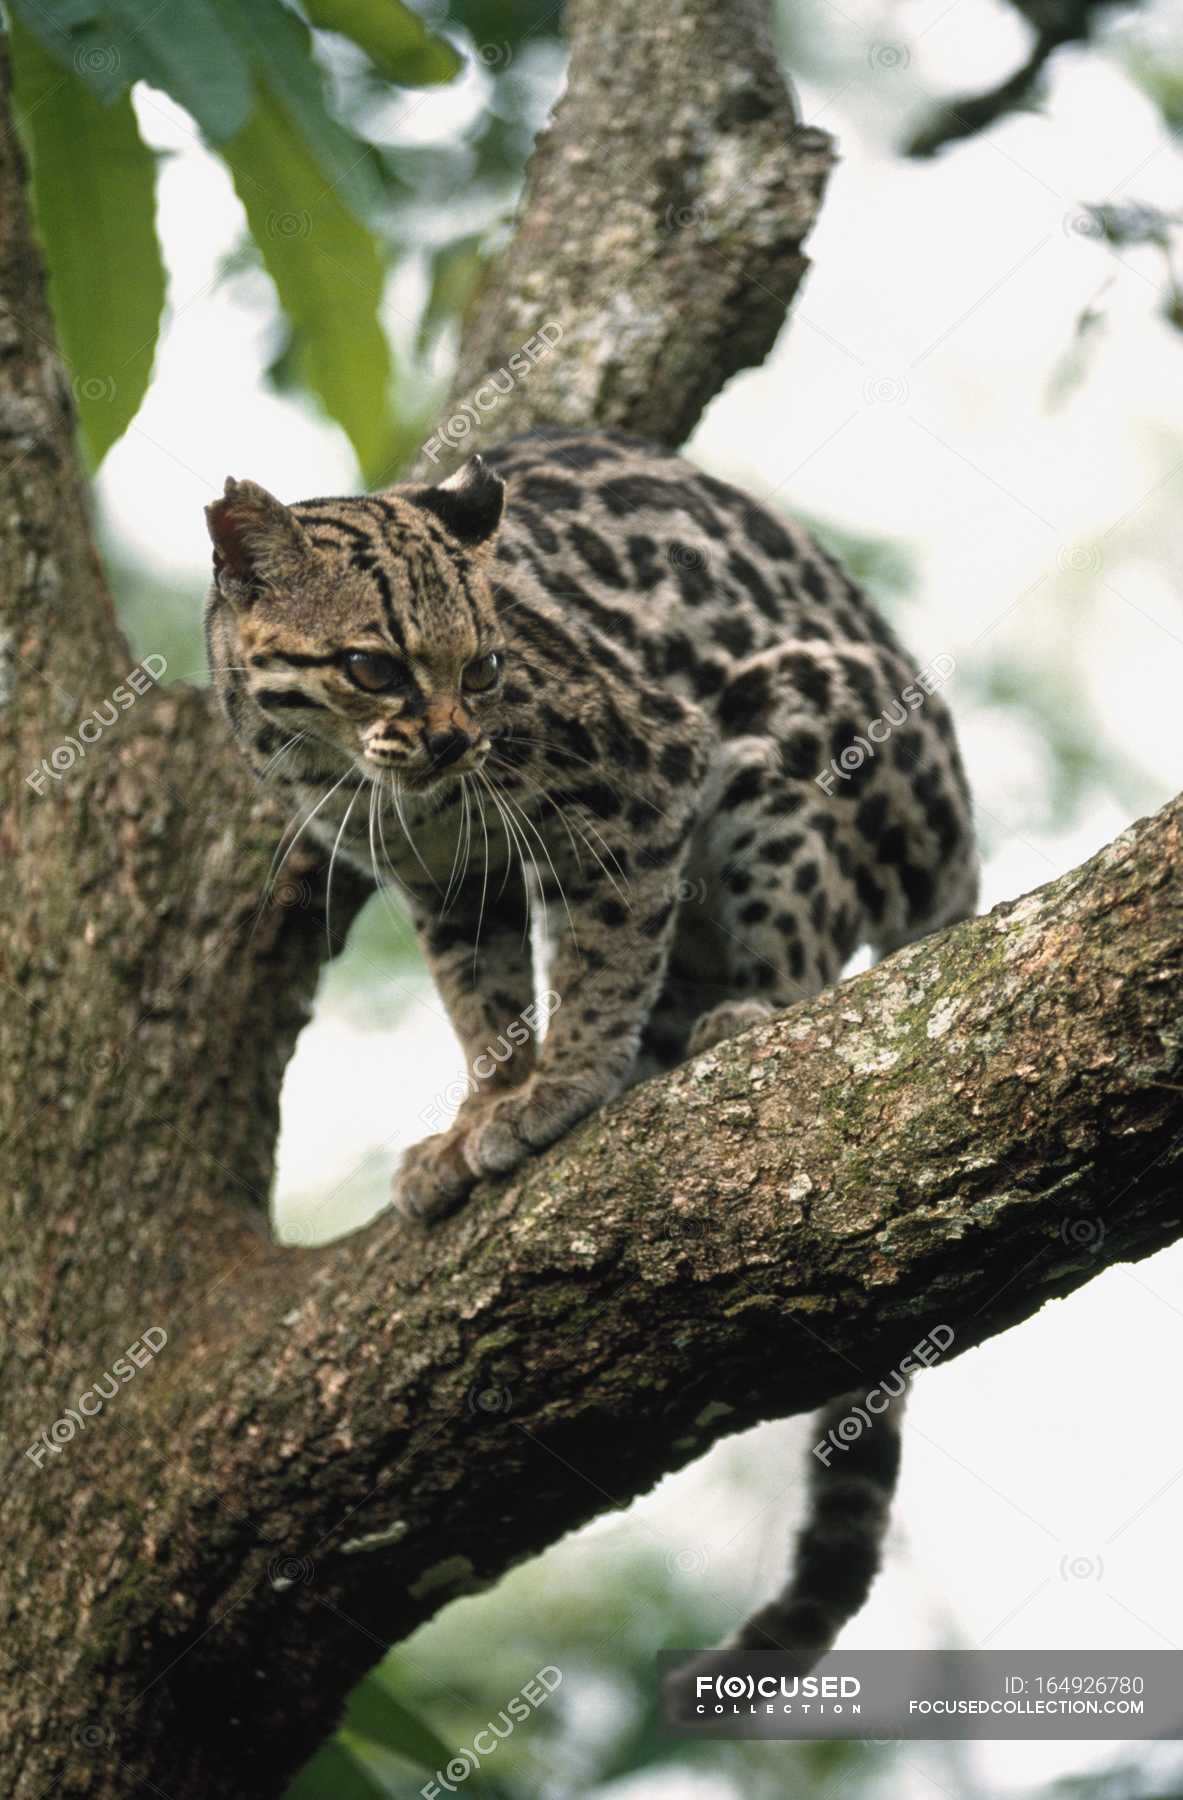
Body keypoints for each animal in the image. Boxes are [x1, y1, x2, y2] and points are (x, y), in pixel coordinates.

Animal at [205, 432, 979, 1670]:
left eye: (486, 667)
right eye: (373, 665)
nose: (454, 738)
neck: (348, 764)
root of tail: (963, 866)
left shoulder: (642, 770)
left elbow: (604, 950)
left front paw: (560, 1085)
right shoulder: (442, 875)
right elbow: (479, 1001)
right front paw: (482, 1109)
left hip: (793, 718)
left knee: (810, 940)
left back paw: (753, 1017)